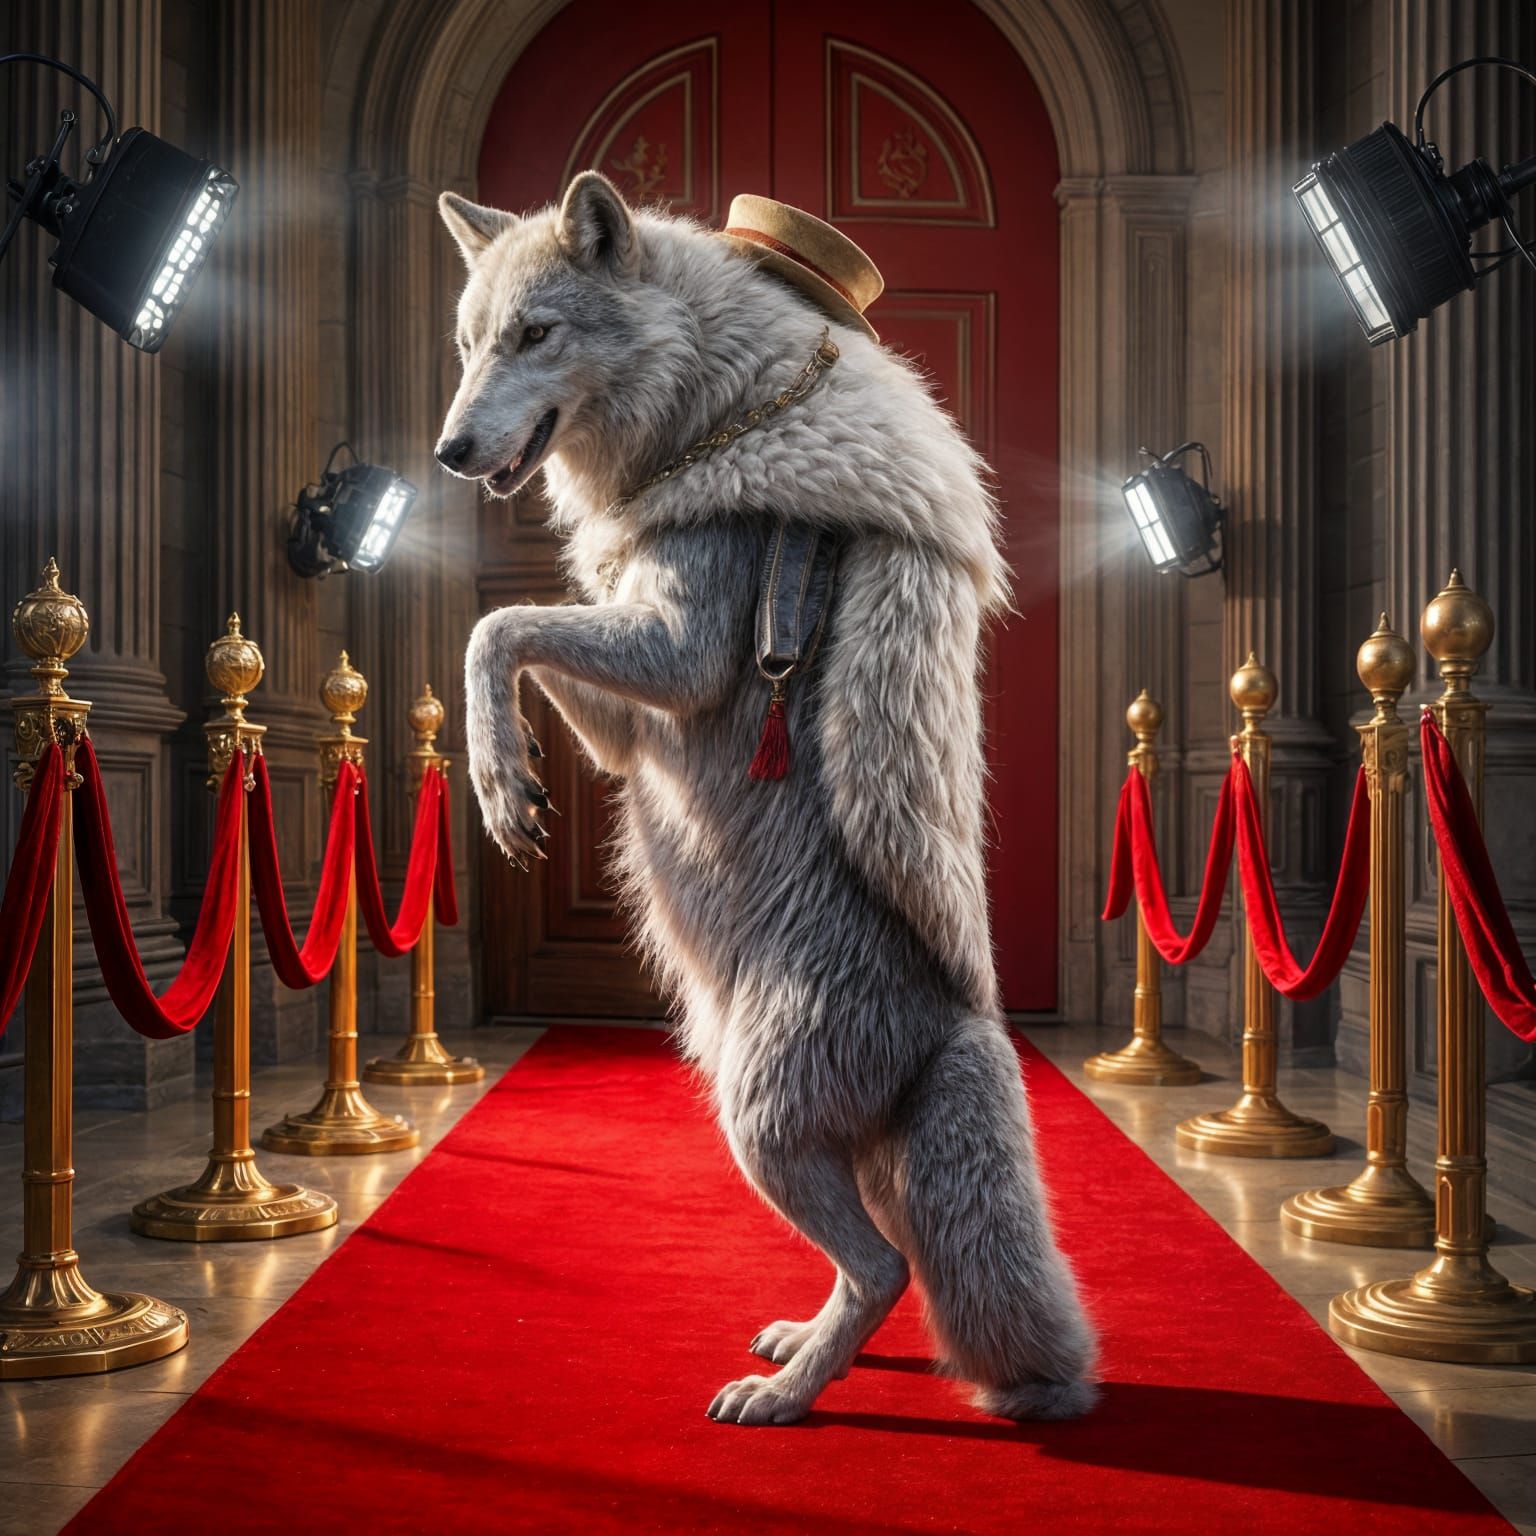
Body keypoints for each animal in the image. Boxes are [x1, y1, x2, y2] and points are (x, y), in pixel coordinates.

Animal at [437, 171, 1096, 1426]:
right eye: (468, 343)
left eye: (535, 335)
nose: (447, 450)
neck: (711, 419)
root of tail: (960, 1026)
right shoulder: (630, 712)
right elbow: (517, 639)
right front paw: (516, 782)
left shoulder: (680, 653)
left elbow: (491, 627)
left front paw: (499, 787)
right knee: (889, 1258)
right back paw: (801, 1345)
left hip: (755, 1120)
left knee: (887, 1265)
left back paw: (787, 1396)